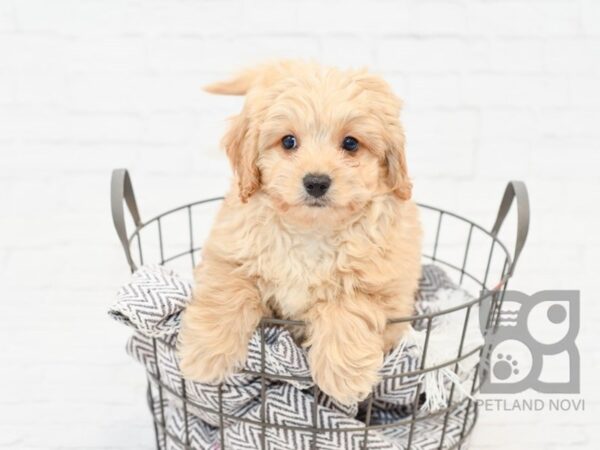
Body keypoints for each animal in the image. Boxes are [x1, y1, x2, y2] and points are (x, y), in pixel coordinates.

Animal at [178, 60, 422, 404]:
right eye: (288, 141)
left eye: (351, 143)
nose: (316, 182)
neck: (311, 232)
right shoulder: (228, 253)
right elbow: (226, 292)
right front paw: (206, 355)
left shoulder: (382, 285)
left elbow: (349, 304)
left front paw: (344, 375)